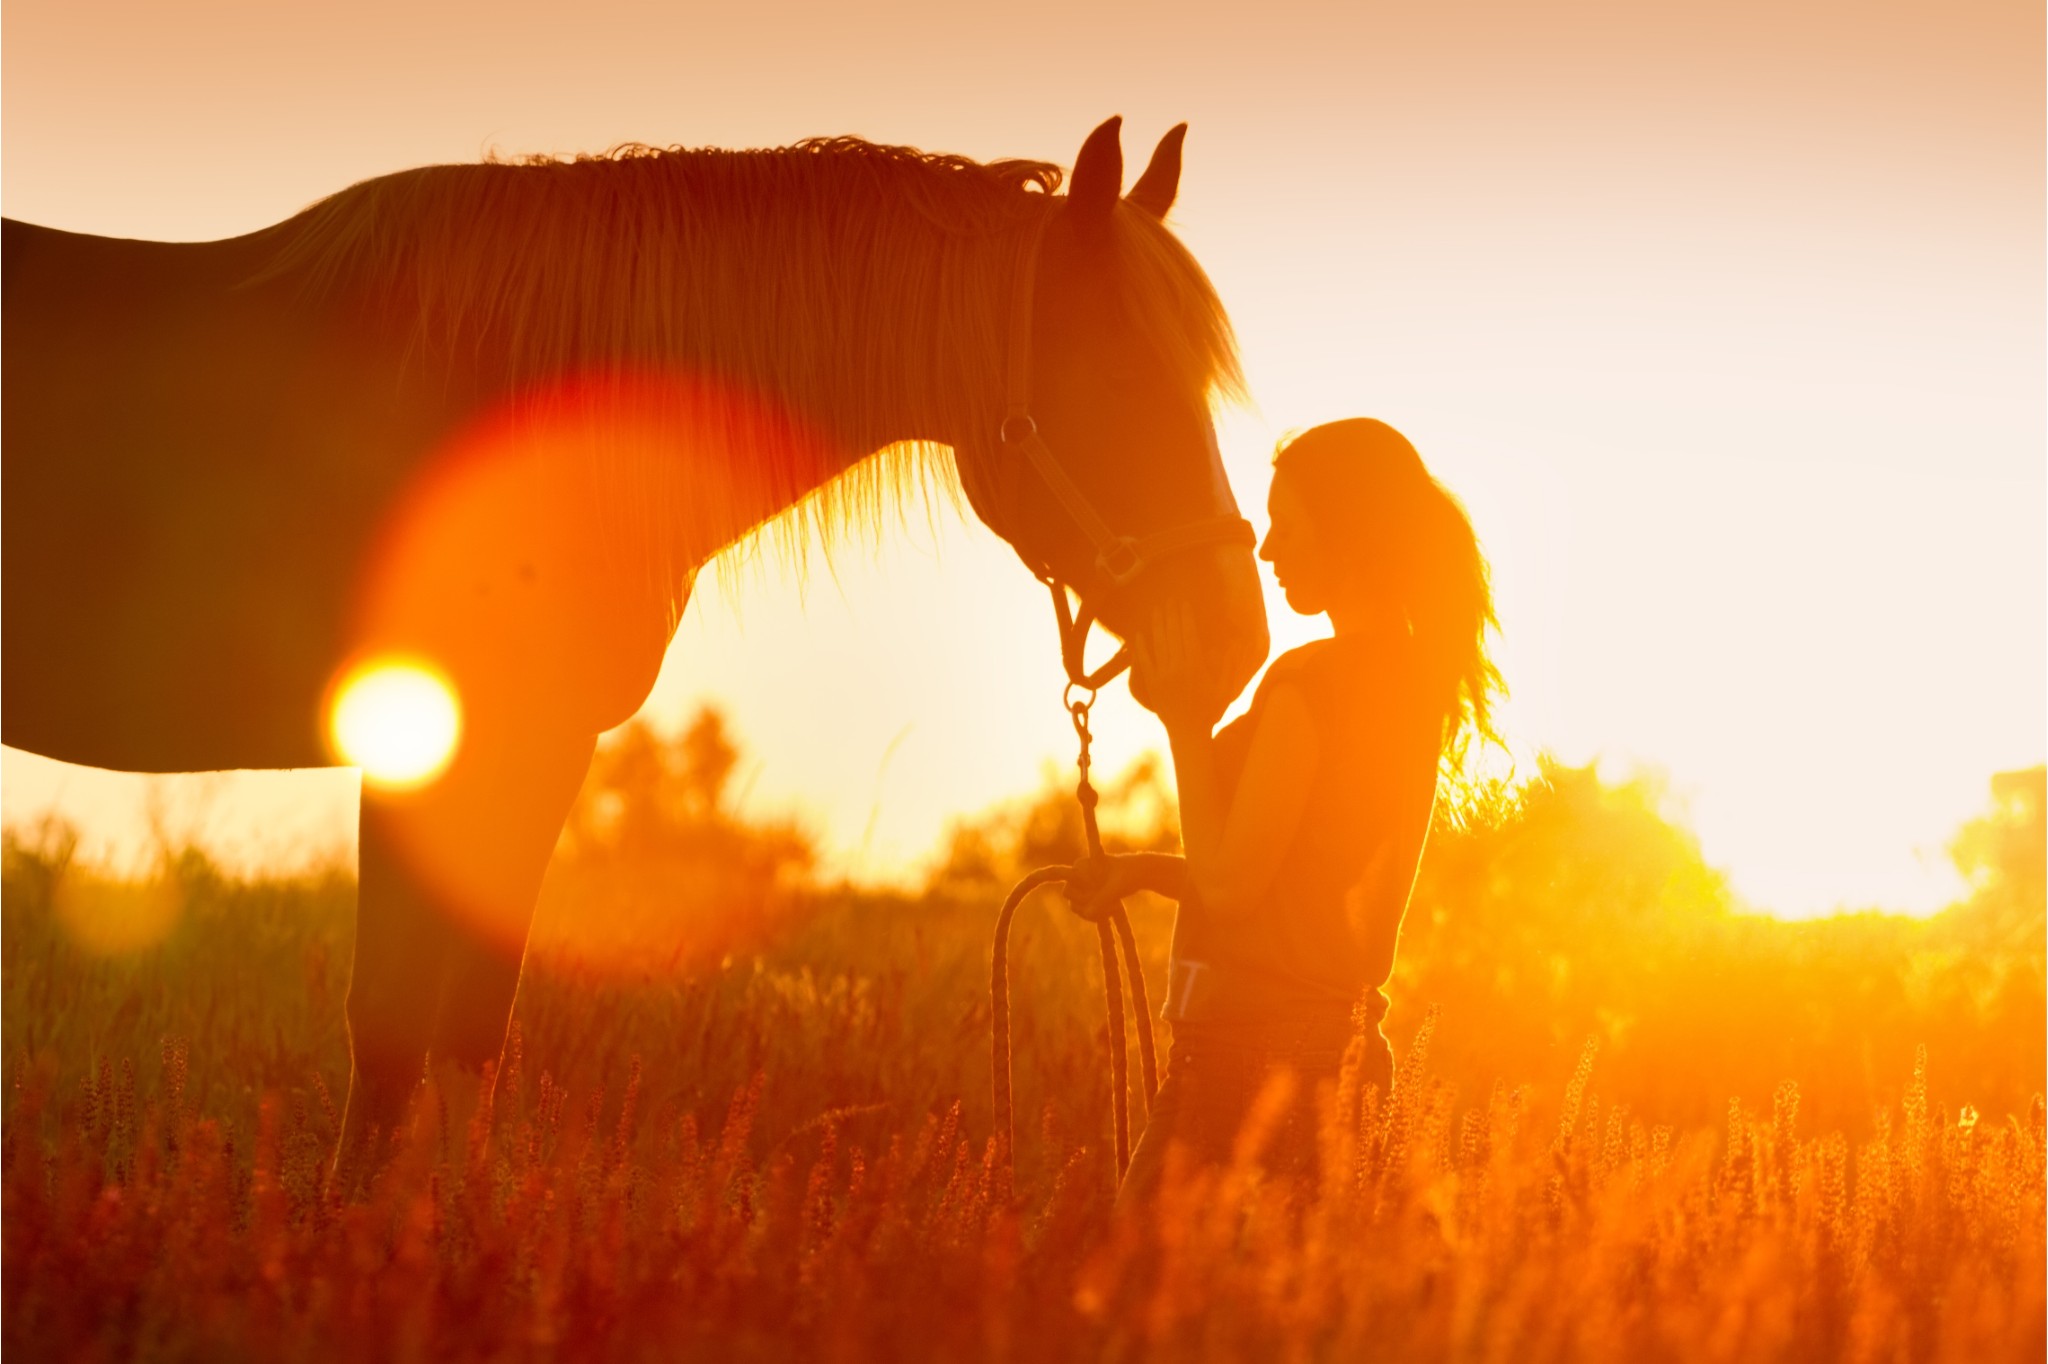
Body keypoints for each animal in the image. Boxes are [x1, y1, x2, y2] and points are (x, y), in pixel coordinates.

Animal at [4, 116, 1261, 1179]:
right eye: (1116, 376)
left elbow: (468, 1033)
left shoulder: (527, 749)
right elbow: (395, 1026)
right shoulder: (447, 743)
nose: (1233, 638)